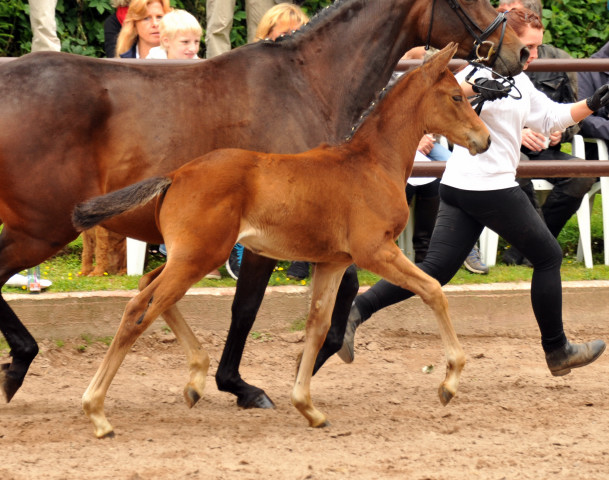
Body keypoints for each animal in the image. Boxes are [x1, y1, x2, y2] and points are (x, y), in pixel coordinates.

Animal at [73, 43, 490, 436]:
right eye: (457, 96)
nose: (484, 139)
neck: (371, 164)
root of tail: (175, 175)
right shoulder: (375, 250)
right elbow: (432, 289)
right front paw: (450, 382)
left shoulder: (334, 262)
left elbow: (317, 324)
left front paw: (308, 407)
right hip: (199, 257)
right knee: (138, 309)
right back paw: (98, 412)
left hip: (189, 256)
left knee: (148, 288)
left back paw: (195, 379)